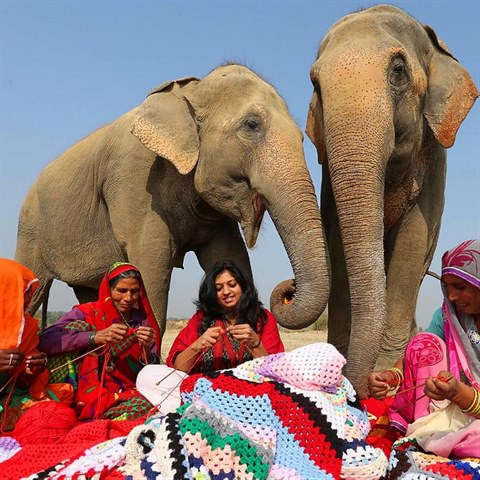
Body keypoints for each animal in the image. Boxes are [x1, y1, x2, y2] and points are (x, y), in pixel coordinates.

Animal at [15, 63, 330, 346]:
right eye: (251, 125)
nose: (288, 288)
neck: (192, 92)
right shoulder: (136, 180)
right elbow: (152, 263)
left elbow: (230, 255)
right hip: (30, 230)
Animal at [306, 4, 478, 398]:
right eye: (316, 86)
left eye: (398, 71)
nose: (358, 388)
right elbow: (337, 242)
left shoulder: (433, 163)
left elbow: (412, 243)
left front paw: (386, 375)